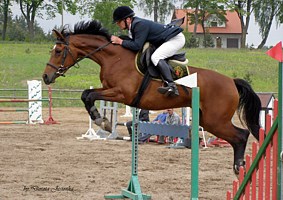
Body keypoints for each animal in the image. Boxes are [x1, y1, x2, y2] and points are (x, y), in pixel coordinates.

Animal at [42, 19, 262, 174]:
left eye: (58, 51)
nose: (46, 77)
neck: (114, 58)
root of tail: (231, 81)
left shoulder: (121, 93)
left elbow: (89, 95)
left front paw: (102, 121)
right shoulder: (109, 89)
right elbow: (87, 94)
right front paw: (103, 121)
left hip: (215, 120)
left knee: (241, 135)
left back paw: (239, 166)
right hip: (209, 120)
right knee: (239, 136)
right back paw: (239, 167)